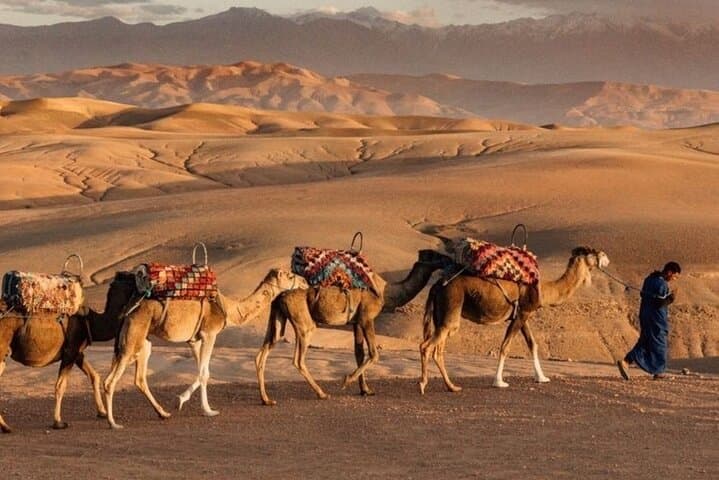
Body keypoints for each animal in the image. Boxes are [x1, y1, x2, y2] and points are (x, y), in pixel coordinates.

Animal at [0, 272, 137, 433]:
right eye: (132, 279)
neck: (90, 321)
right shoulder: (70, 351)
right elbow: (61, 386)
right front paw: (58, 422)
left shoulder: (77, 352)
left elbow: (94, 376)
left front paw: (102, 412)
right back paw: (5, 426)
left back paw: (5, 426)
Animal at [103, 268, 306, 429]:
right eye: (289, 275)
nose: (304, 281)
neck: (229, 309)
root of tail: (127, 310)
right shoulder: (210, 333)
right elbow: (203, 374)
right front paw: (208, 411)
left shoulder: (195, 340)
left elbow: (204, 371)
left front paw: (180, 400)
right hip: (133, 336)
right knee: (110, 381)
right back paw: (113, 423)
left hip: (142, 341)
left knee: (138, 378)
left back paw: (163, 413)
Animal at [256, 249, 452, 405]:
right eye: (435, 255)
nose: (449, 259)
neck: (385, 292)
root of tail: (280, 296)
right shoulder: (367, 317)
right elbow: (374, 353)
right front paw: (346, 380)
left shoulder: (356, 322)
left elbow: (360, 353)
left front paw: (365, 390)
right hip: (304, 322)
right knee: (298, 359)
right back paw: (322, 393)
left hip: (278, 317)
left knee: (264, 352)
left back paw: (266, 399)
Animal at [419, 246, 609, 394]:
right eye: (593, 251)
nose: (606, 258)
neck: (543, 289)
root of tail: (436, 286)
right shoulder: (523, 313)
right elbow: (505, 346)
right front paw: (499, 382)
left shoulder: (523, 314)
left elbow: (532, 344)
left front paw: (542, 377)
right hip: (452, 306)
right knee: (427, 346)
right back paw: (423, 384)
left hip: (442, 314)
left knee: (438, 349)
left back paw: (452, 387)